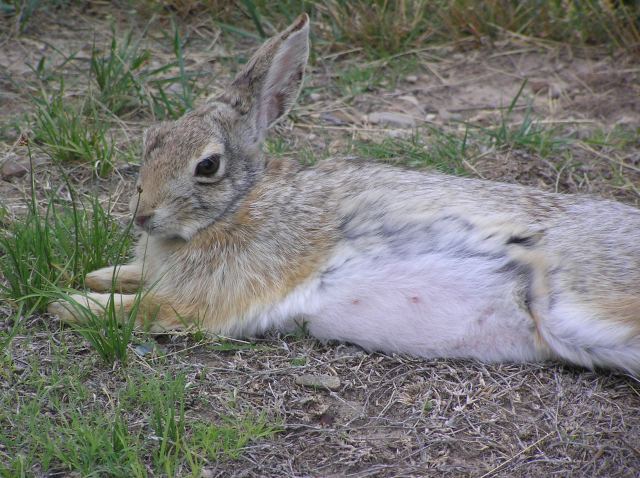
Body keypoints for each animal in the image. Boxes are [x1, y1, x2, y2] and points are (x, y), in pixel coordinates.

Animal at [48, 13, 640, 374]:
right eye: (152, 139)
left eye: (208, 165)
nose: (143, 216)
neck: (241, 204)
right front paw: (100, 276)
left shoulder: (218, 293)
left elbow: (150, 309)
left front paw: (71, 304)